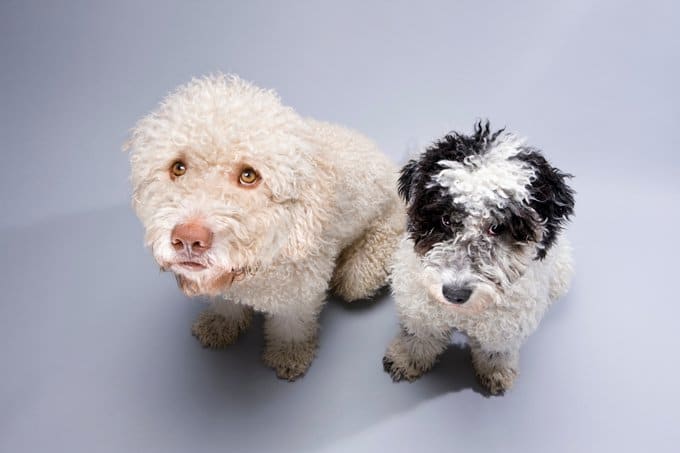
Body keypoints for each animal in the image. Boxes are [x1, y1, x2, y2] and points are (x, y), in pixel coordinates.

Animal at [126, 74, 404, 378]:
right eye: (178, 168)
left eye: (249, 175)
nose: (188, 239)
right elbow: (226, 303)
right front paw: (222, 323)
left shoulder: (299, 293)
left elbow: (291, 325)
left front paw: (289, 353)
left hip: (372, 255)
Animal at [382, 122, 572, 394]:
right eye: (446, 220)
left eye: (497, 227)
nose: (454, 294)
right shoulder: (419, 307)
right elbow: (420, 335)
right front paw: (406, 358)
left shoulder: (504, 326)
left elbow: (496, 350)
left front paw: (496, 371)